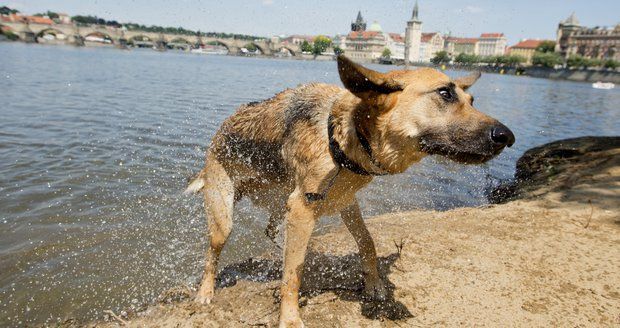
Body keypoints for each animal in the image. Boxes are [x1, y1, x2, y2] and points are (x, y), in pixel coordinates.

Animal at [184, 55, 512, 326]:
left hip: (278, 202)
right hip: (224, 217)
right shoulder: (303, 208)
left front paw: (375, 284)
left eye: (471, 99)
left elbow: (367, 242)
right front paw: (289, 318)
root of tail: (218, 135)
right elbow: (293, 274)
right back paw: (205, 292)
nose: (507, 137)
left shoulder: (344, 202)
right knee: (213, 253)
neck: (346, 136)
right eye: (445, 93)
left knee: (270, 230)